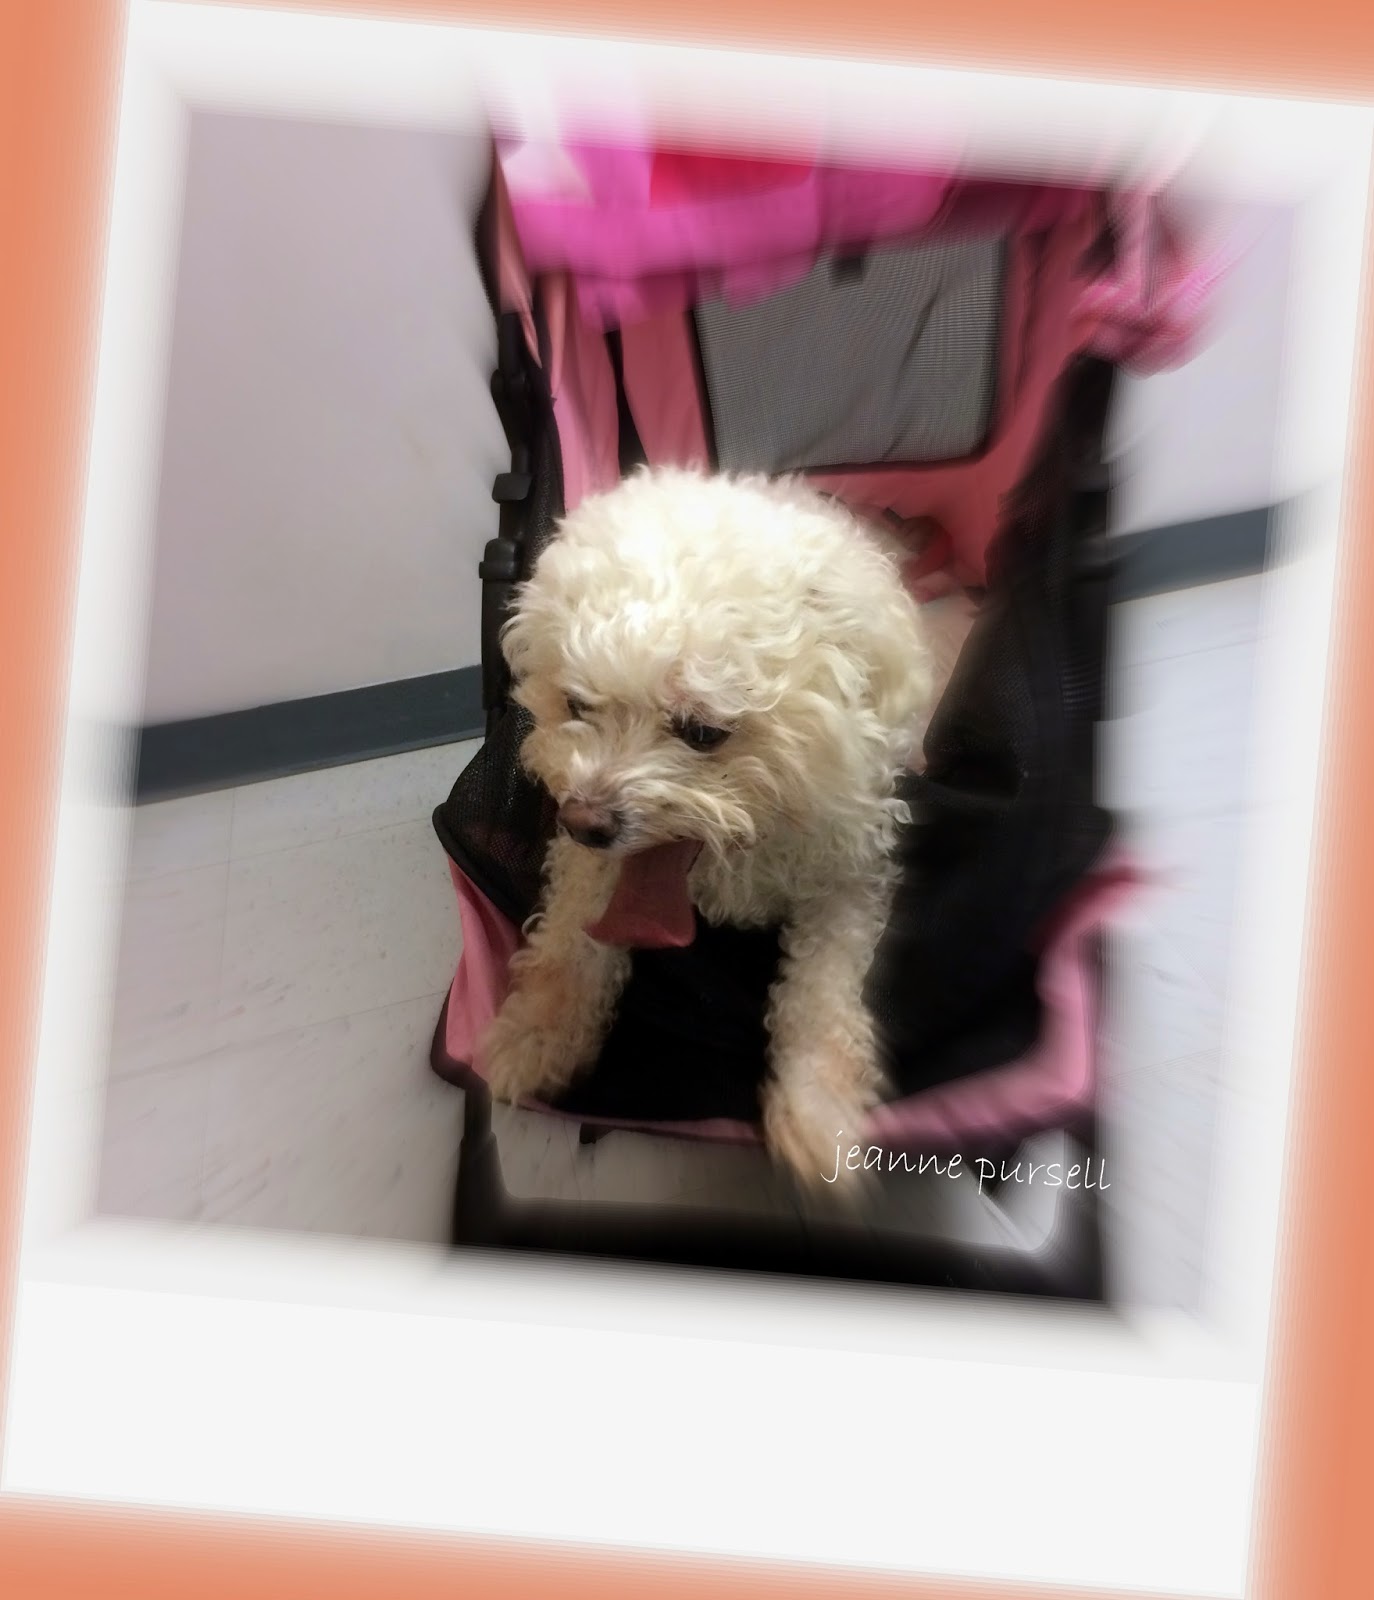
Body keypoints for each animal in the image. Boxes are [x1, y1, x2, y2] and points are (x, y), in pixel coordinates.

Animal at [480, 466, 935, 1186]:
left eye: (702, 732)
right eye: (576, 704)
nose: (586, 821)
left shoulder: (848, 870)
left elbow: (822, 990)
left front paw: (818, 1114)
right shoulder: (591, 866)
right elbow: (569, 946)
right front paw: (536, 1036)